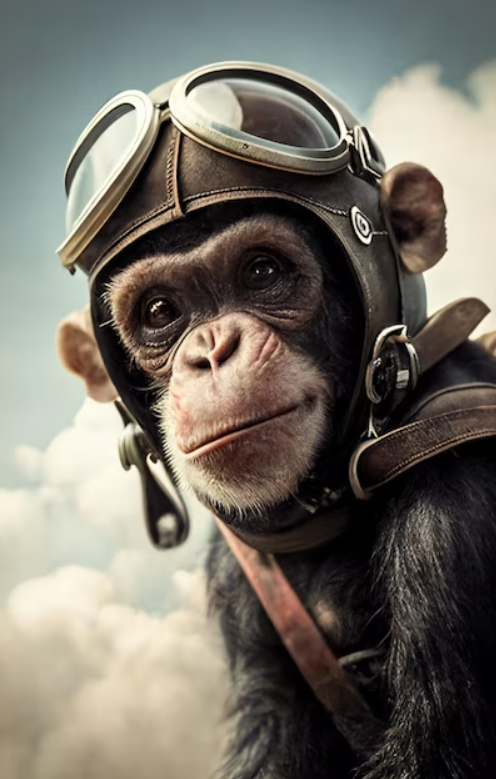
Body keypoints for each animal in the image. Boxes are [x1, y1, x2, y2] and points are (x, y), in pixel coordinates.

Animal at [58, 171, 496, 779]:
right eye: (160, 311)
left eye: (262, 272)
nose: (212, 351)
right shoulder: (239, 571)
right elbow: (272, 728)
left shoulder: (455, 500)